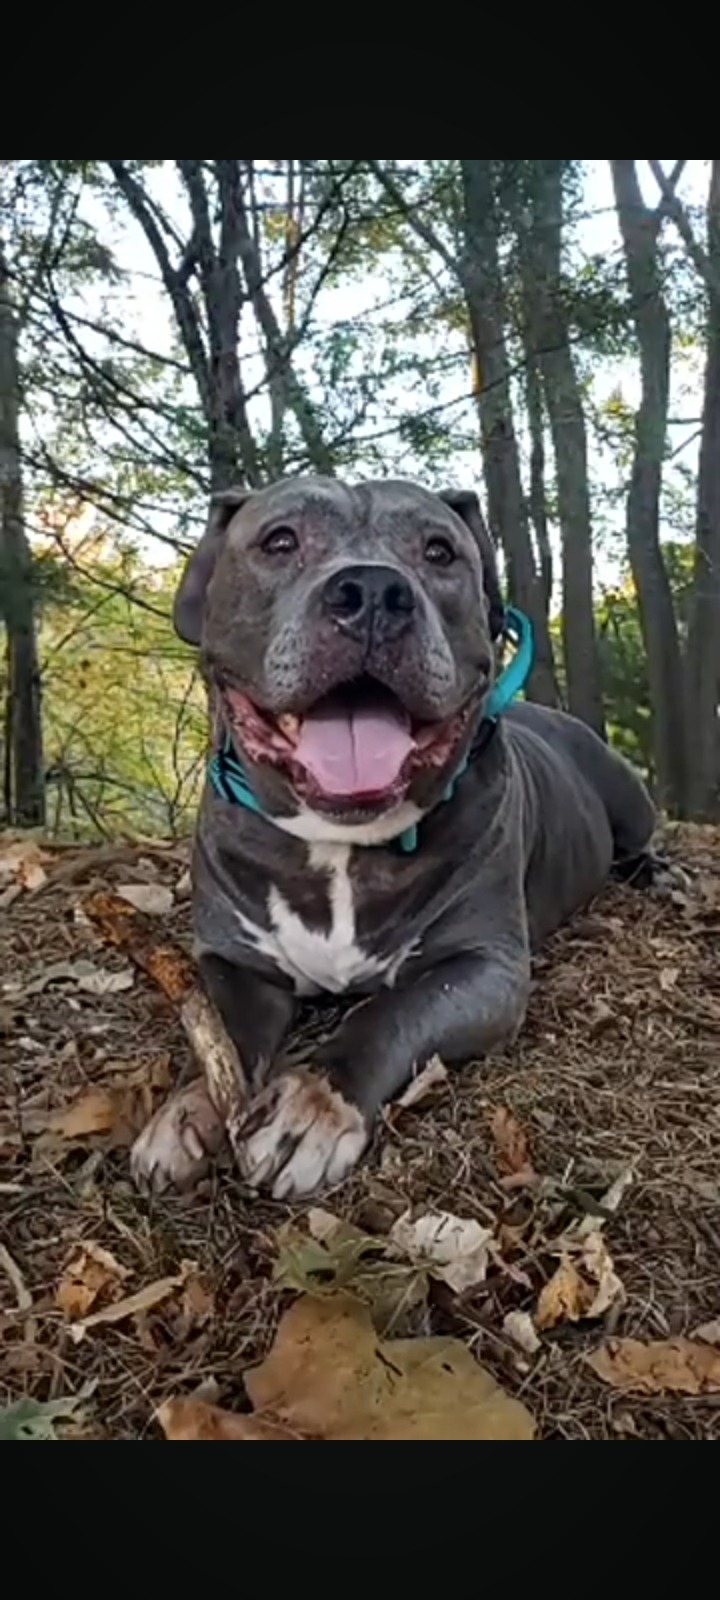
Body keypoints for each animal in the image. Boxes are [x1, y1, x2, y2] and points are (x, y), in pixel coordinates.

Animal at [132, 476, 660, 1201]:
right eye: (279, 540)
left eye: (439, 551)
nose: (373, 591)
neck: (338, 842)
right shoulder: (233, 962)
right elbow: (221, 1033)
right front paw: (182, 1112)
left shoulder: (484, 968)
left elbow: (388, 1014)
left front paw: (311, 1108)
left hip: (628, 793)